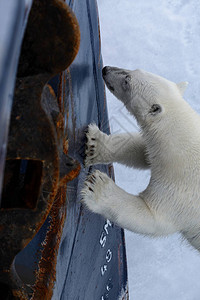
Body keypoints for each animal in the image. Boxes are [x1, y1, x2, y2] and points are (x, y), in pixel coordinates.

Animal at [81, 67, 200, 252]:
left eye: (127, 81)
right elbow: (141, 151)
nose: (105, 69)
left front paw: (98, 187)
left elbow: (152, 217)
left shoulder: (181, 189)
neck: (184, 139)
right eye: (134, 70)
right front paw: (95, 144)